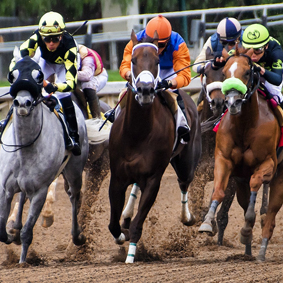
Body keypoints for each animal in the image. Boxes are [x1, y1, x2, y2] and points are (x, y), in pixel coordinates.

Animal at [0, 56, 89, 266]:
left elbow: (28, 231)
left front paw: (23, 262)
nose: (22, 103)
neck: (25, 148)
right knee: (22, 197)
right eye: (12, 75)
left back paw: (77, 236)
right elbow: (1, 230)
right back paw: (15, 226)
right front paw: (12, 234)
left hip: (74, 170)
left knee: (74, 196)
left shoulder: (40, 191)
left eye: (39, 77)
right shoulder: (5, 188)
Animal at [107, 31, 203, 264]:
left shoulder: (153, 179)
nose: (145, 90)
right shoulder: (117, 177)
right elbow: (113, 224)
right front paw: (121, 234)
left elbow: (138, 224)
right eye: (133, 60)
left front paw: (130, 257)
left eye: (157, 61)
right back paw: (126, 214)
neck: (137, 132)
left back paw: (187, 217)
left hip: (186, 162)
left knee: (184, 182)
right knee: (135, 188)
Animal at [200, 47, 283, 262]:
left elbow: (256, 185)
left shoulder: (268, 164)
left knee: (269, 216)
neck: (246, 125)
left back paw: (260, 252)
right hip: (240, 183)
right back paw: (248, 251)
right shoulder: (223, 161)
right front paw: (206, 222)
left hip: (279, 179)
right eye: (224, 73)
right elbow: (218, 191)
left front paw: (246, 229)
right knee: (247, 203)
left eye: (247, 72)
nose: (231, 102)